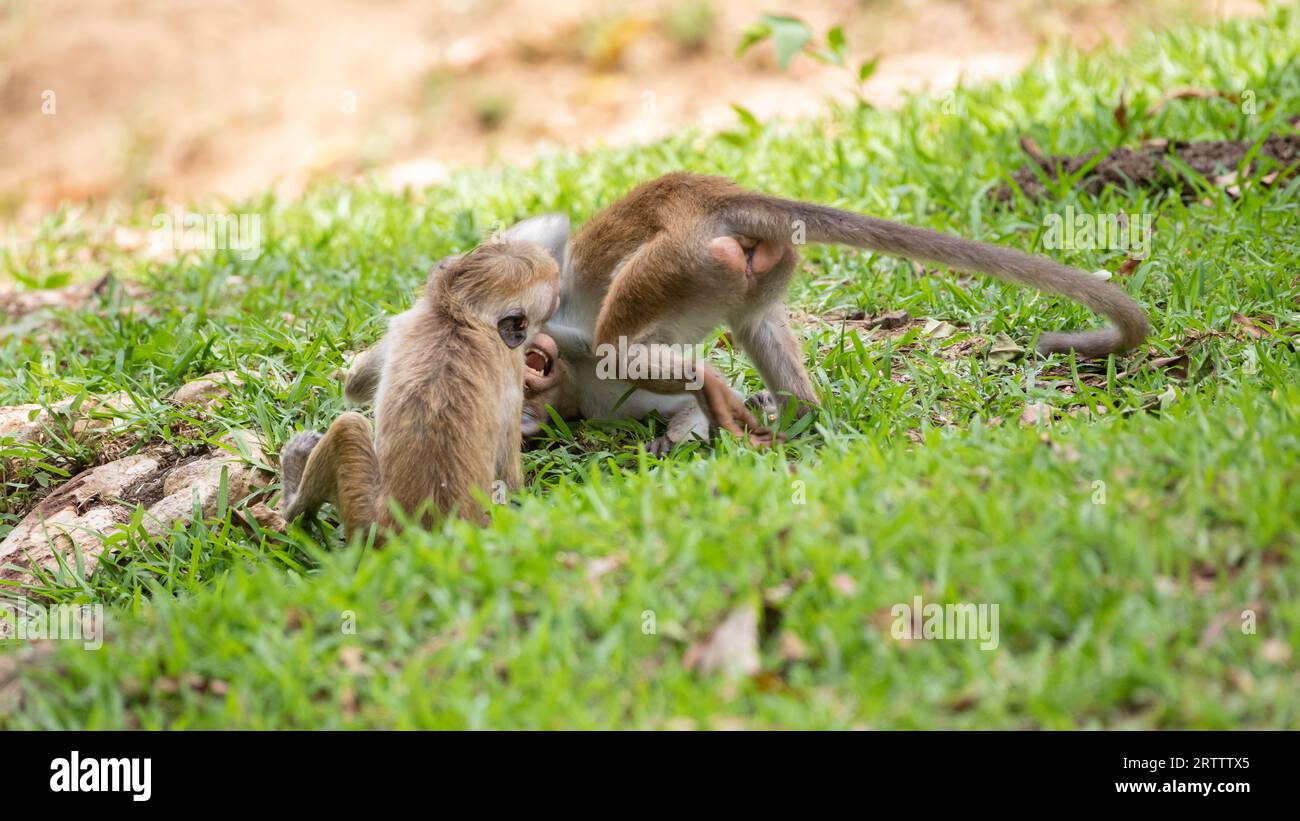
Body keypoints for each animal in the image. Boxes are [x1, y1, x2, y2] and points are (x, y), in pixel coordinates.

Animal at [276, 235, 561, 537]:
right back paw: (292, 505)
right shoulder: (511, 365)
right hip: (363, 516)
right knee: (349, 426)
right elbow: (510, 480)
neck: (461, 316)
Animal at [343, 171, 1149, 449]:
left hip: (676, 261)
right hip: (749, 266)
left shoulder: (579, 364)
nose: (533, 368)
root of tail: (716, 199)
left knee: (612, 338)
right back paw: (800, 415)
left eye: (533, 363)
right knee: (754, 321)